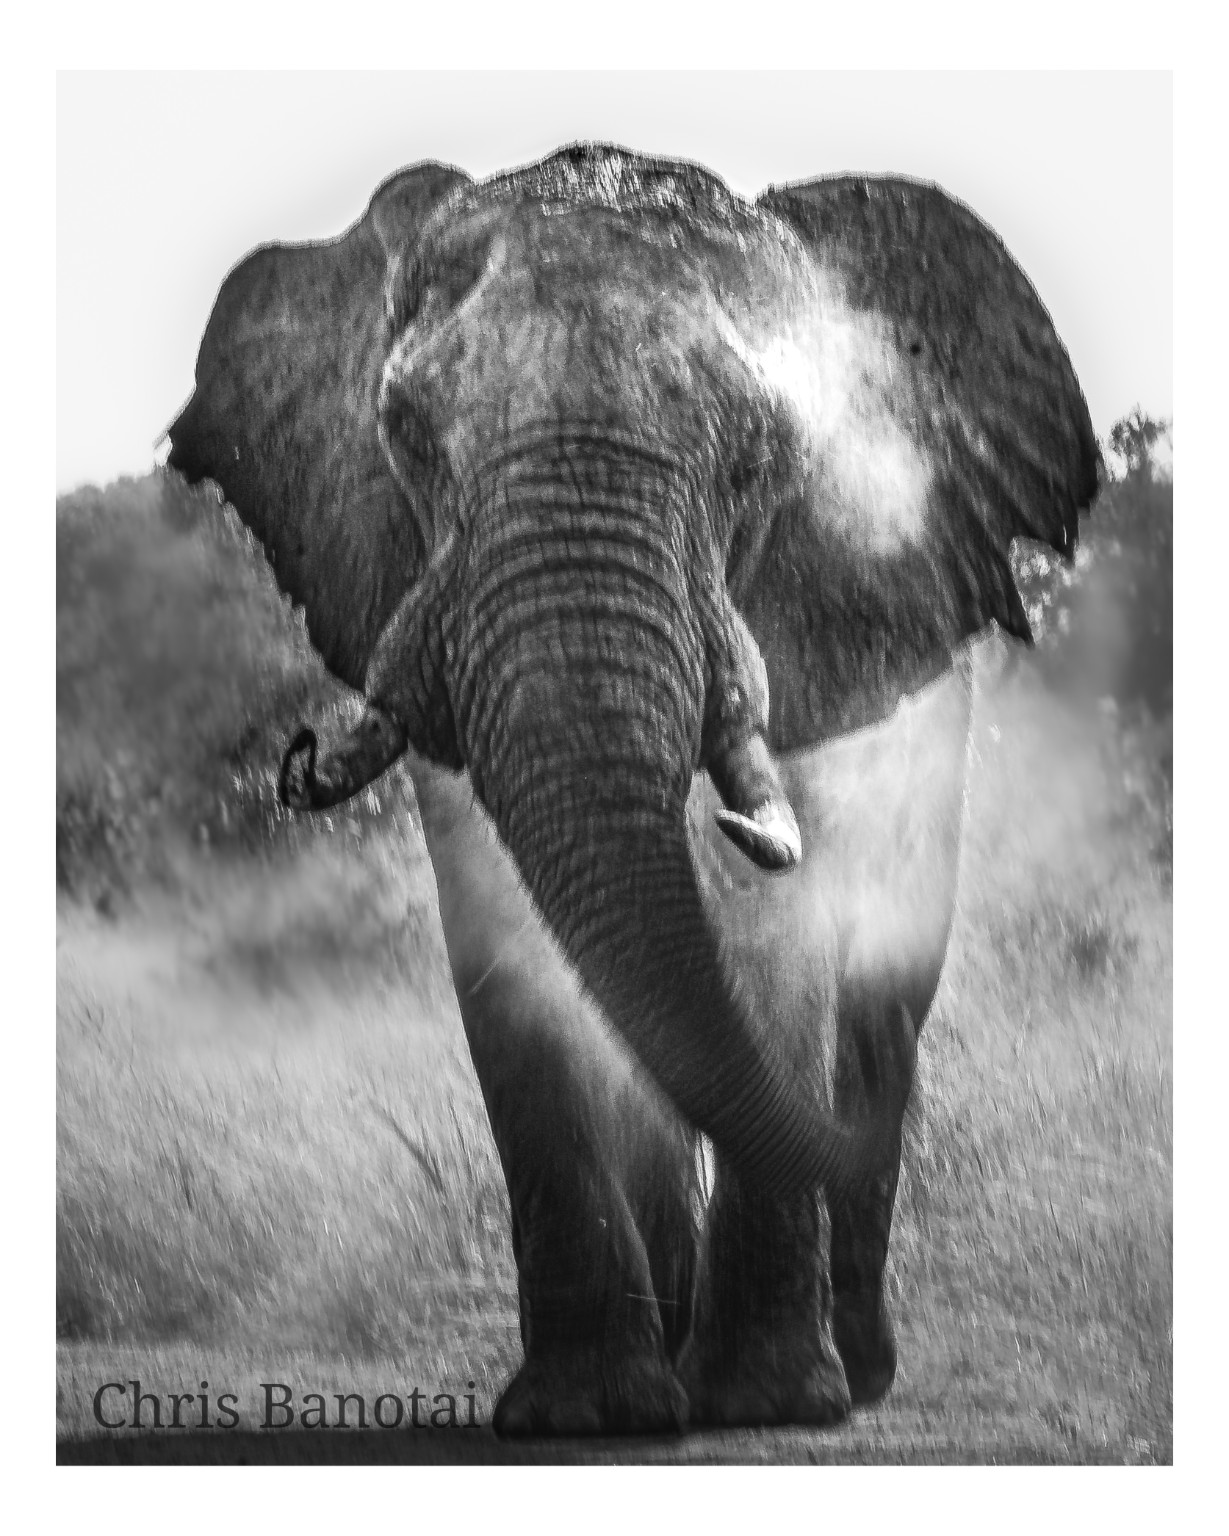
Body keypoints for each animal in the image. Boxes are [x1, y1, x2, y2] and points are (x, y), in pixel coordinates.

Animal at [167, 143, 1098, 1435]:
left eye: (756, 457)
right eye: (405, 437)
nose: (296, 755)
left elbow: (773, 939)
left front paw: (766, 1404)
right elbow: (517, 967)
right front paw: (585, 1414)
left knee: (877, 1013)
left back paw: (848, 1371)